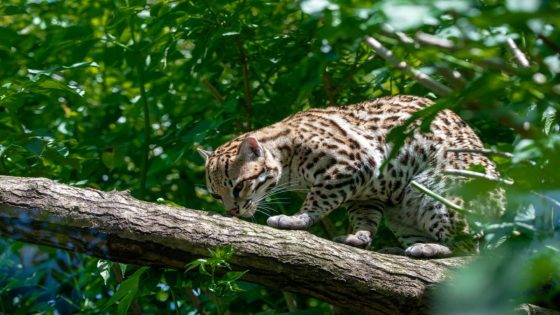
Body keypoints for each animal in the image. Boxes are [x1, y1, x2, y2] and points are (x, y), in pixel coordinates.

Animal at [199, 95, 506, 258]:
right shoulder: (367, 193)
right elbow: (365, 219)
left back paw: (429, 248)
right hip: (403, 212)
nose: (233, 211)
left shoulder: (353, 166)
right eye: (216, 195)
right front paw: (358, 237)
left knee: (467, 252)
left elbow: (317, 200)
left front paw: (297, 219)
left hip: (436, 193)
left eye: (239, 186)